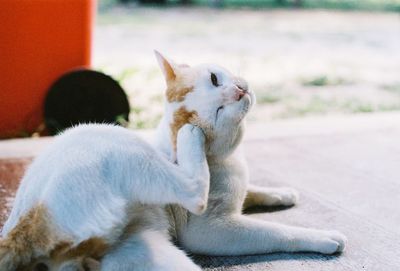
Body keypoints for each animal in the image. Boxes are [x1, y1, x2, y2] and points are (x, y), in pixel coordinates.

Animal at [0, 51, 346, 271]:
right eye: (219, 111)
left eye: (214, 78)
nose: (238, 91)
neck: (226, 158)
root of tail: (19, 230)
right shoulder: (213, 230)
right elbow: (275, 231)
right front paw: (323, 237)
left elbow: (255, 190)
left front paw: (282, 193)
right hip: (116, 142)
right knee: (193, 190)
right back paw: (190, 137)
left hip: (145, 252)